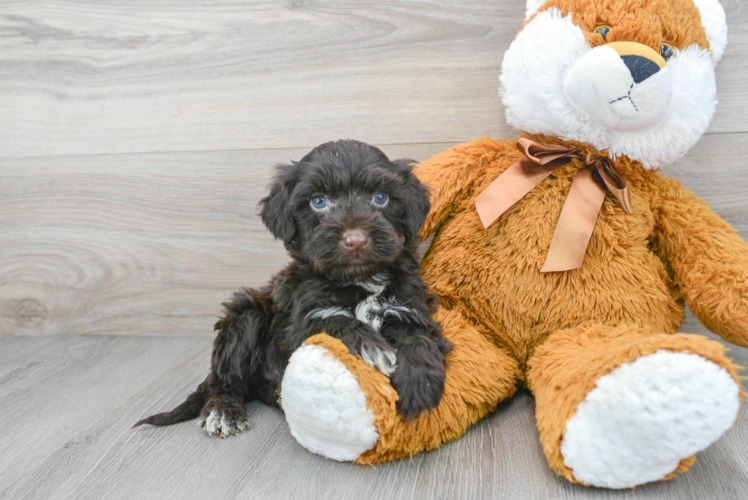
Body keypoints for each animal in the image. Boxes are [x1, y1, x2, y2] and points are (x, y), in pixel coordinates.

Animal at [134, 139, 450, 436]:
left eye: (380, 197)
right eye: (319, 201)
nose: (356, 240)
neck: (358, 280)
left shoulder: (409, 306)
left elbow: (420, 338)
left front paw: (419, 383)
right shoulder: (301, 323)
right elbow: (336, 321)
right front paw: (371, 346)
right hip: (246, 316)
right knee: (227, 378)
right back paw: (223, 410)